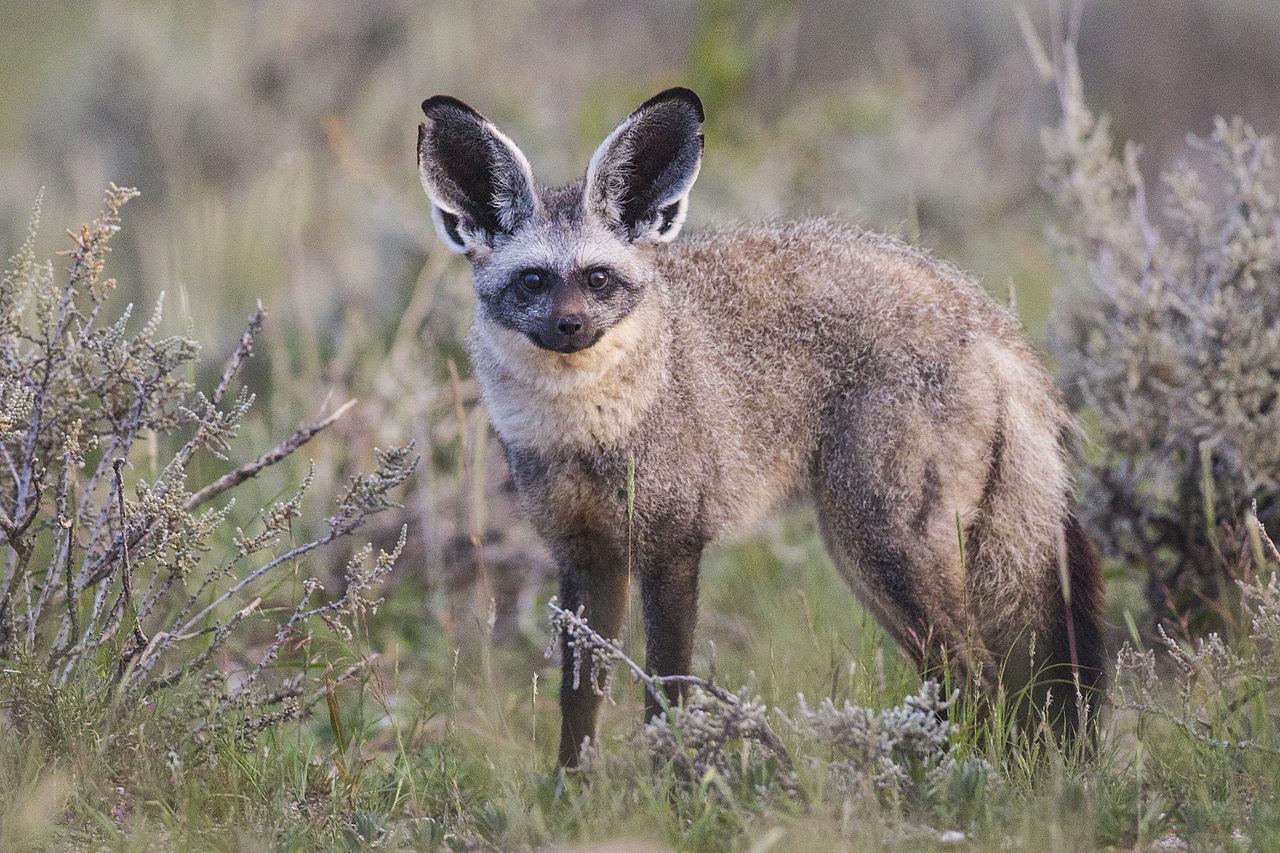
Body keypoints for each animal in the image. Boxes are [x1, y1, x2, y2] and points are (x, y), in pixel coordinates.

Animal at [415, 87, 1105, 767]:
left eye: (598, 279)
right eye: (533, 280)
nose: (570, 326)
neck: (586, 433)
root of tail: (983, 312)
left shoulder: (672, 548)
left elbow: (666, 695)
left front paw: (674, 783)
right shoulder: (586, 557)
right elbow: (579, 709)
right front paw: (572, 790)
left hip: (882, 547)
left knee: (977, 677)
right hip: (872, 561)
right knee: (962, 682)